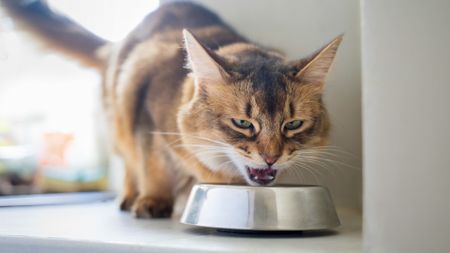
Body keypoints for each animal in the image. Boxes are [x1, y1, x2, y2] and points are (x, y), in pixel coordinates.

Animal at [0, 0, 342, 217]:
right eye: (243, 123)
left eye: (293, 124)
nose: (271, 157)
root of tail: (114, 44)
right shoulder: (148, 120)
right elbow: (153, 166)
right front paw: (153, 201)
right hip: (118, 117)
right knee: (130, 163)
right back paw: (130, 196)